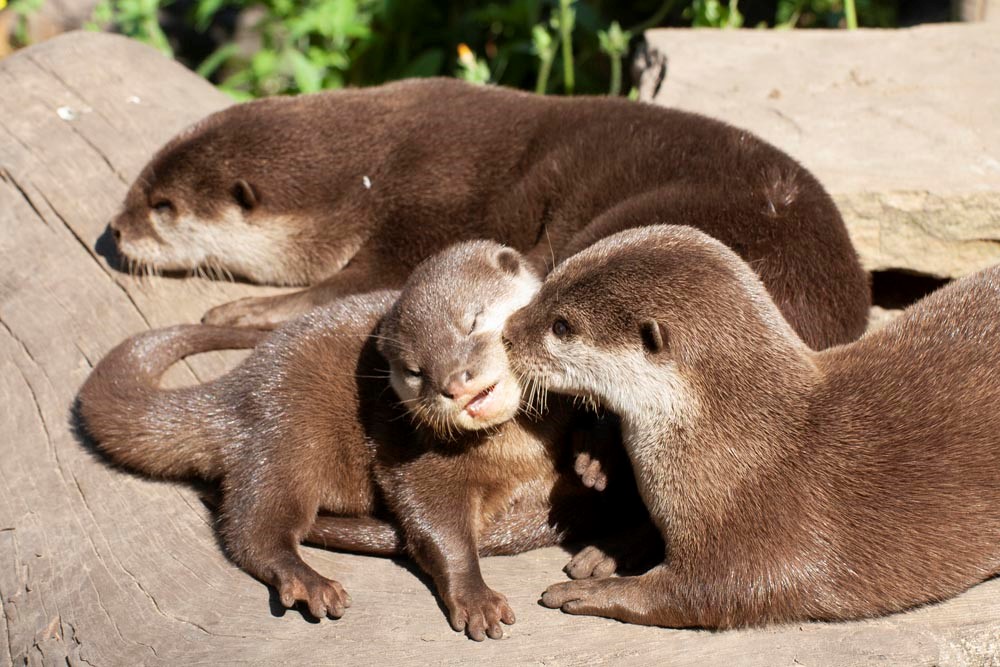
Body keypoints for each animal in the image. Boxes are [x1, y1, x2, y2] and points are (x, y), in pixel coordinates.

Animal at [77, 241, 644, 641]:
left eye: (474, 321)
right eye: (415, 372)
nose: (453, 382)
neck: (519, 449)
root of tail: (238, 388)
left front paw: (596, 458)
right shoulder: (415, 461)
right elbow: (436, 526)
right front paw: (477, 598)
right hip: (284, 438)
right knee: (253, 529)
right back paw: (308, 582)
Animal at [110, 78, 868, 349]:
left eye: (162, 206)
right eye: (140, 184)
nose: (114, 231)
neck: (366, 170)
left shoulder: (426, 206)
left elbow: (353, 284)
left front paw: (240, 311)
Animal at [503, 224, 1000, 628]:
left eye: (562, 326)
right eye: (548, 283)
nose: (506, 332)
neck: (739, 451)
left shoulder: (768, 539)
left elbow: (710, 594)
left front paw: (590, 590)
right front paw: (608, 549)